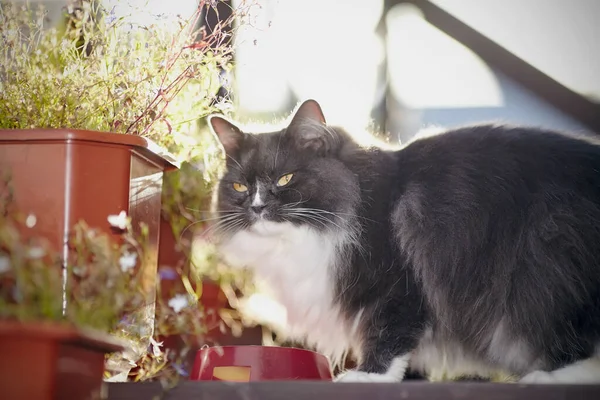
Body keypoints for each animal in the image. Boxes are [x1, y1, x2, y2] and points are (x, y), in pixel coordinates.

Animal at [205, 98, 600, 382]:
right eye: (239, 186)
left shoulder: (399, 282)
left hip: (549, 268)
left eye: (285, 179)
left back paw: (545, 378)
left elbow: (389, 336)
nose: (257, 207)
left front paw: (367, 377)